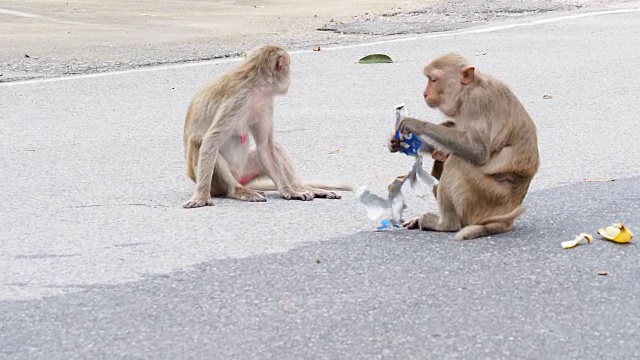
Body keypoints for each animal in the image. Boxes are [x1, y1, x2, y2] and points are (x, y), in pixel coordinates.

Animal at [182, 45, 352, 208]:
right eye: (288, 65)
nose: (290, 77)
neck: (255, 84)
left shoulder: (265, 102)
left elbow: (265, 146)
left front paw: (290, 191)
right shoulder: (238, 100)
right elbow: (211, 140)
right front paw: (201, 197)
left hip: (246, 170)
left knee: (274, 146)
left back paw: (302, 188)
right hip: (215, 184)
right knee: (199, 139)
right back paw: (237, 190)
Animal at [392, 52, 536, 239]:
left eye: (433, 79)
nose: (424, 93)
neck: (468, 88)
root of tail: (507, 218)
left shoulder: (476, 102)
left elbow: (477, 151)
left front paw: (416, 124)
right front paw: (397, 141)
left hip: (488, 197)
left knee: (456, 161)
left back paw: (445, 224)